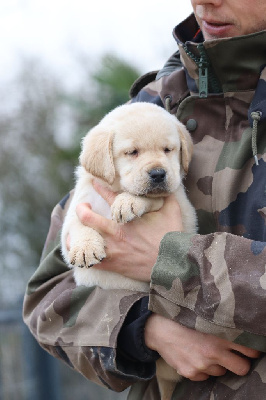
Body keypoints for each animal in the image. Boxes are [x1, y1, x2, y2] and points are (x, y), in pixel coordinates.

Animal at [60, 102, 197, 400]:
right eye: (132, 152)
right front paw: (85, 248)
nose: (158, 174)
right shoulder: (76, 212)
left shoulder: (174, 201)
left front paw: (129, 202)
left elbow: (148, 197)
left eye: (168, 150)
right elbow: (78, 226)